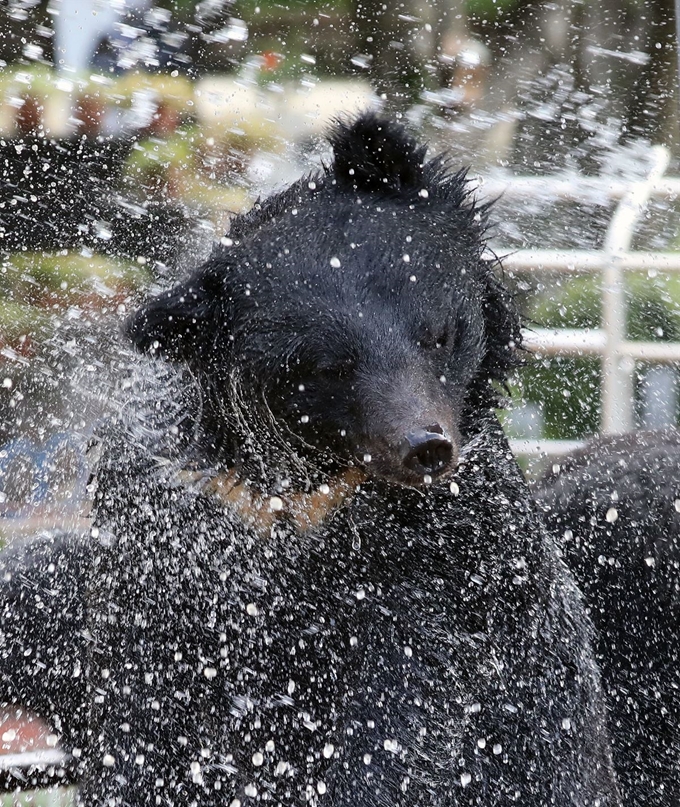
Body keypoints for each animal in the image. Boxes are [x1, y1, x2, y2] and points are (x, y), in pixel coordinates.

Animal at [0, 115, 620, 807]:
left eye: (437, 332)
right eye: (326, 367)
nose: (425, 447)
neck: (305, 492)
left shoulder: (451, 554)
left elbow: (410, 693)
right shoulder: (175, 524)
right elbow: (154, 691)